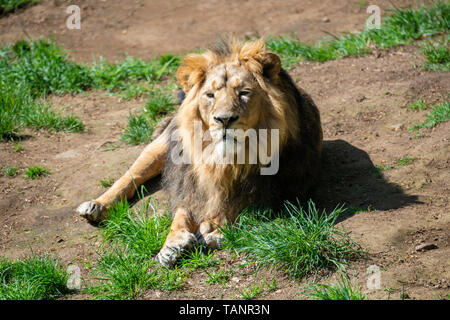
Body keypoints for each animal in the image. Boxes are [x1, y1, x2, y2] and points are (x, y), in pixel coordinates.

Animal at [78, 37, 324, 268]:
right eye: (210, 95)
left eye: (244, 93)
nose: (224, 119)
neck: (225, 160)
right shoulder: (188, 184)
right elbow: (182, 212)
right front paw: (173, 244)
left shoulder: (277, 190)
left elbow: (241, 210)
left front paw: (213, 231)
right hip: (162, 143)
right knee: (131, 174)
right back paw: (96, 205)